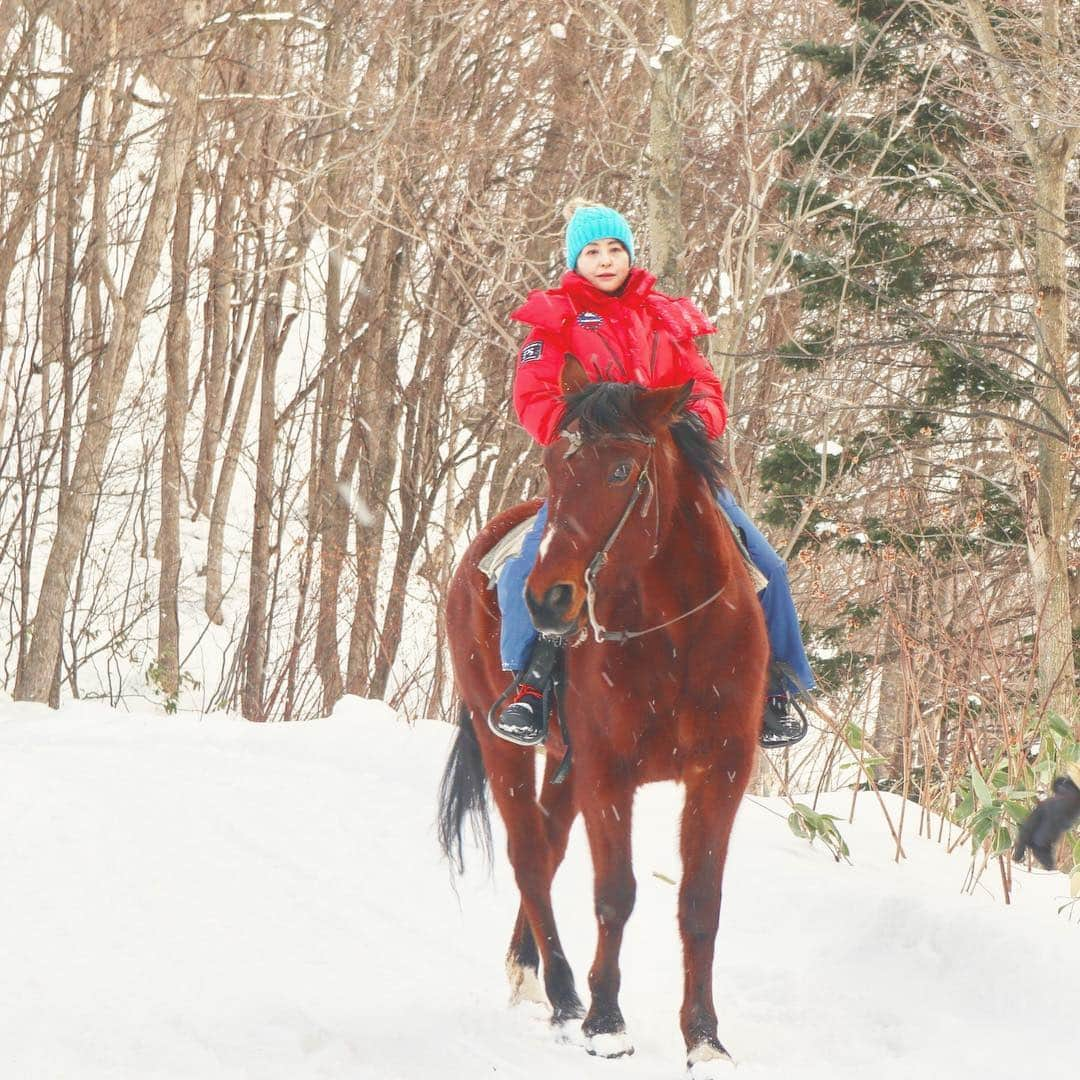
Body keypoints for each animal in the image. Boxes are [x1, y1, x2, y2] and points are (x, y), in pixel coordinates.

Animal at [438, 358, 768, 1075]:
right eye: (552, 466)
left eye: (621, 471)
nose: (547, 599)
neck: (676, 633)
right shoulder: (608, 771)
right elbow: (615, 893)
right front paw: (606, 1023)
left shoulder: (720, 772)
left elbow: (700, 903)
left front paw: (705, 1039)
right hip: (505, 741)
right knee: (530, 855)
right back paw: (564, 996)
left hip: (565, 761)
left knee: (549, 844)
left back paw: (528, 968)